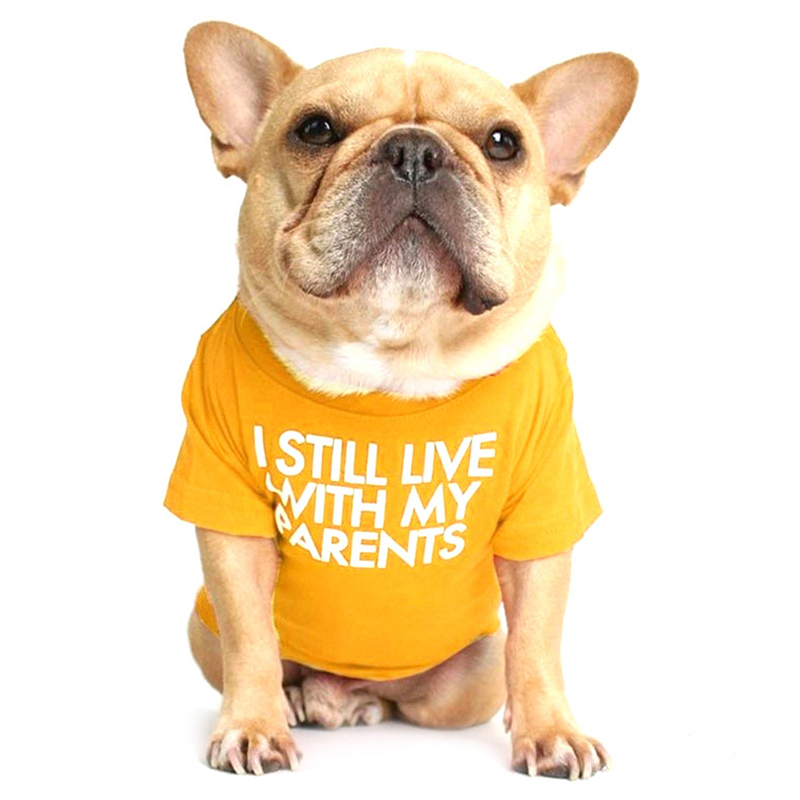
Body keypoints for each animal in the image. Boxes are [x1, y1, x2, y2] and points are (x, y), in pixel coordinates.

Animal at [164, 20, 637, 780]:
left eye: (504, 143)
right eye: (315, 129)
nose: (415, 150)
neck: (395, 360)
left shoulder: (543, 511)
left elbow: (537, 638)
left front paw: (550, 730)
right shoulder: (228, 523)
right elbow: (250, 636)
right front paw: (254, 724)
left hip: (471, 678)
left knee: (419, 696)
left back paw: (357, 702)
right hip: (197, 628)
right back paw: (307, 700)